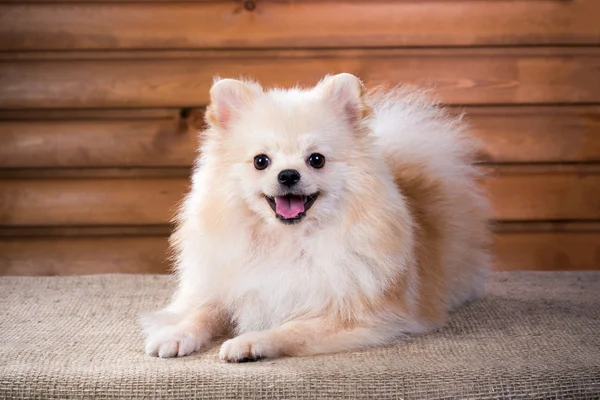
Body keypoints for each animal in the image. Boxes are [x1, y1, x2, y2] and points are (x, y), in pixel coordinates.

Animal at [143, 72, 490, 362]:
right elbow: (201, 312)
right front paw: (175, 335)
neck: (287, 240)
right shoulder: (225, 287)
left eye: (316, 159)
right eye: (260, 161)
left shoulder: (362, 315)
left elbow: (293, 328)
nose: (288, 175)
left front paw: (250, 341)